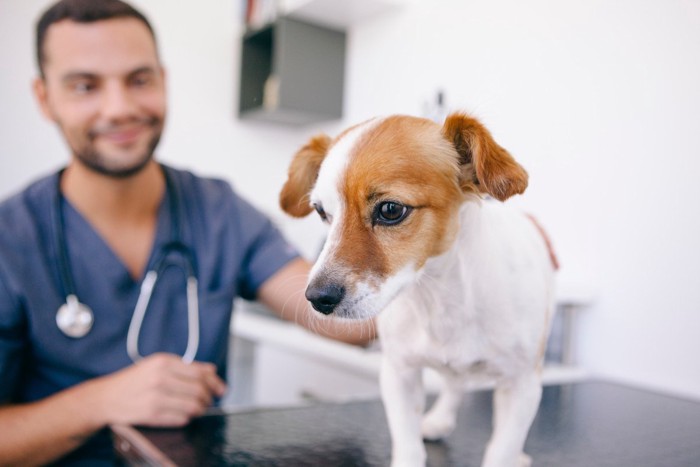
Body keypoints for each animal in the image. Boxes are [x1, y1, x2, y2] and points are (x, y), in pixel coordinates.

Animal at [278, 112, 556, 467]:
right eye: (321, 212)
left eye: (390, 210)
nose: (317, 298)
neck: (440, 297)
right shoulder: (400, 373)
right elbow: (408, 444)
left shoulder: (522, 385)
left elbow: (501, 450)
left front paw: (509, 454)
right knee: (455, 384)